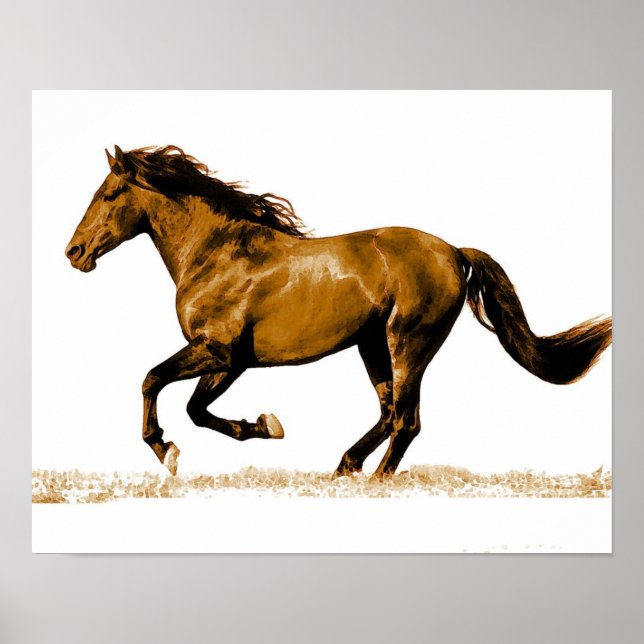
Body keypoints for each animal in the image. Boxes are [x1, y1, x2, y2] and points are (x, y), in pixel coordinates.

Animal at [65, 145, 612, 478]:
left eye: (109, 194)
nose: (74, 252)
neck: (219, 253)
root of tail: (455, 251)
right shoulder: (232, 362)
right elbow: (196, 408)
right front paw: (264, 425)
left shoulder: (218, 351)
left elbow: (154, 381)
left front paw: (168, 451)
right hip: (372, 346)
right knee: (389, 412)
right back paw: (346, 465)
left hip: (407, 342)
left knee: (406, 420)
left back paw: (374, 481)